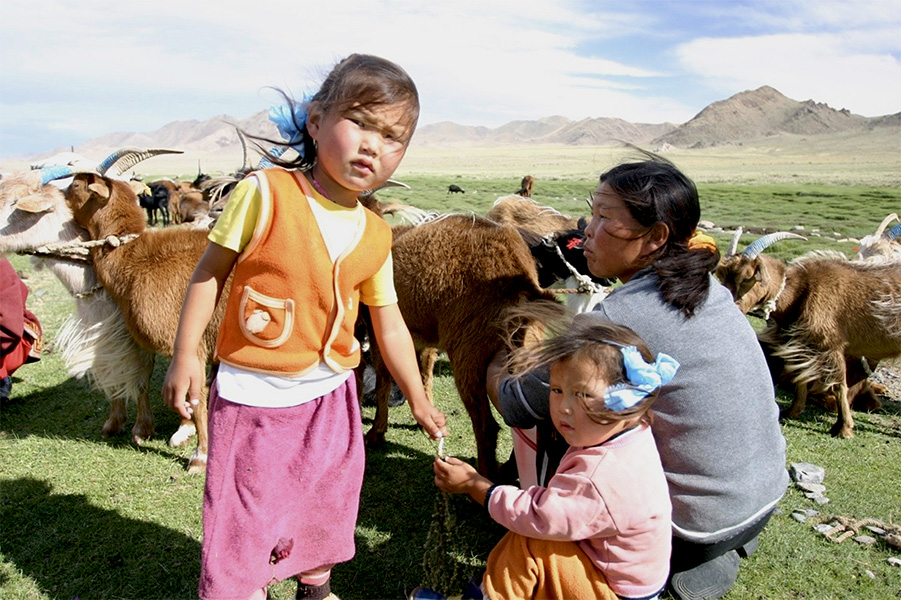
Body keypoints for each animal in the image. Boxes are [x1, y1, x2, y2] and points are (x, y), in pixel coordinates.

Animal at [360, 216, 564, 478]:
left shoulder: (380, 328)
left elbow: (384, 379)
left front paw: (376, 432)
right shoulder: (425, 336)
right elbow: (423, 373)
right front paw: (426, 421)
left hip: (469, 350)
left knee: (486, 426)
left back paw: (484, 478)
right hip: (527, 345)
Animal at [712, 237, 896, 438]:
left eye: (747, 278)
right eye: (721, 275)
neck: (801, 294)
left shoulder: (829, 344)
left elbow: (839, 385)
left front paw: (844, 428)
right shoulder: (803, 345)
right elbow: (802, 378)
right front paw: (793, 412)